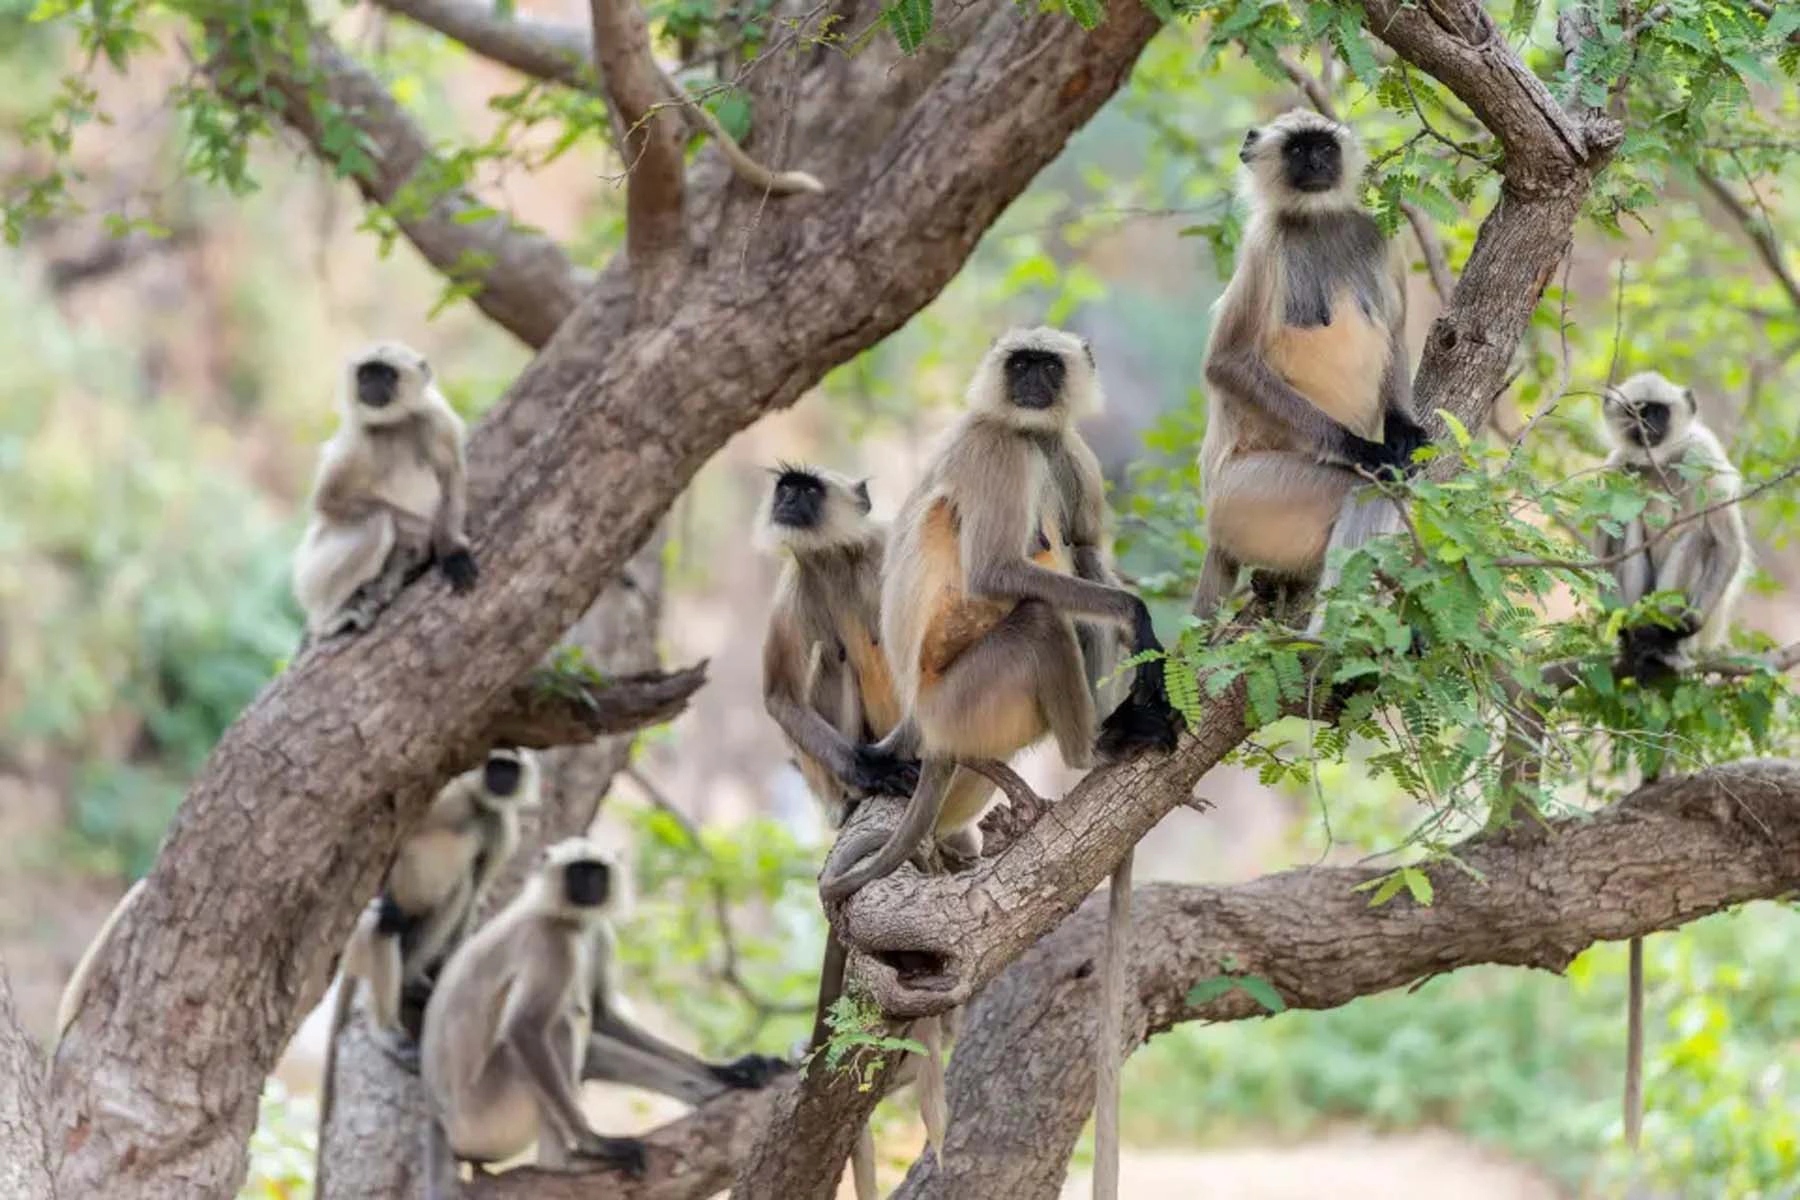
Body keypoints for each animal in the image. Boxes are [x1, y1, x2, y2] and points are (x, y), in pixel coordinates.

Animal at [288, 340, 475, 636]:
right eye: (366, 374)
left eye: (387, 374)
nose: (372, 385)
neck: (393, 424)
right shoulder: (357, 441)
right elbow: (328, 501)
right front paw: (418, 534)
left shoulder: (437, 419)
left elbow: (451, 474)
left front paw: (451, 550)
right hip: (309, 574)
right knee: (377, 523)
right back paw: (326, 621)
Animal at [424, 841, 792, 1194]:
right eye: (577, 871)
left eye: (597, 872)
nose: (589, 886)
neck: (569, 917)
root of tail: (446, 1127)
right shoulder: (551, 941)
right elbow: (524, 1027)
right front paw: (596, 1145)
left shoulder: (598, 933)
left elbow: (602, 1016)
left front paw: (729, 1070)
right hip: (486, 1115)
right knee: (556, 1028)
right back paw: (564, 1162)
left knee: (589, 1046)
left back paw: (712, 1090)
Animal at [1188, 111, 1425, 633]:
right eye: (1298, 150)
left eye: (1324, 148)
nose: (1316, 163)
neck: (1316, 220)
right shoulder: (1265, 247)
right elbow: (1226, 363)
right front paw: (1363, 449)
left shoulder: (1375, 234)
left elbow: (1396, 330)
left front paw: (1405, 431)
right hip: (1248, 495)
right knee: (1364, 487)